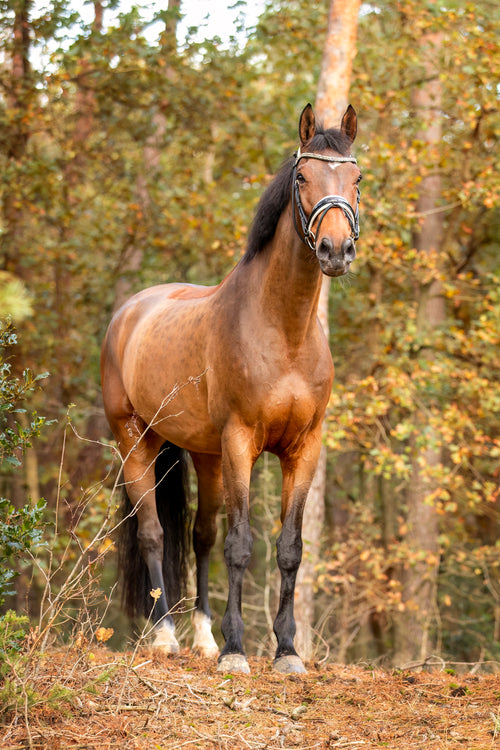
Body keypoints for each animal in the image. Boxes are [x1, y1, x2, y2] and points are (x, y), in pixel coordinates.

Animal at [101, 103, 361, 674]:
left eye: (357, 178)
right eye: (302, 177)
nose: (335, 250)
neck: (284, 333)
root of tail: (131, 311)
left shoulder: (302, 449)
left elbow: (289, 548)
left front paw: (286, 651)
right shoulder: (241, 440)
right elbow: (240, 545)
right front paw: (238, 651)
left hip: (206, 456)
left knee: (200, 537)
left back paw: (202, 639)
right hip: (136, 440)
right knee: (153, 533)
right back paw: (166, 638)